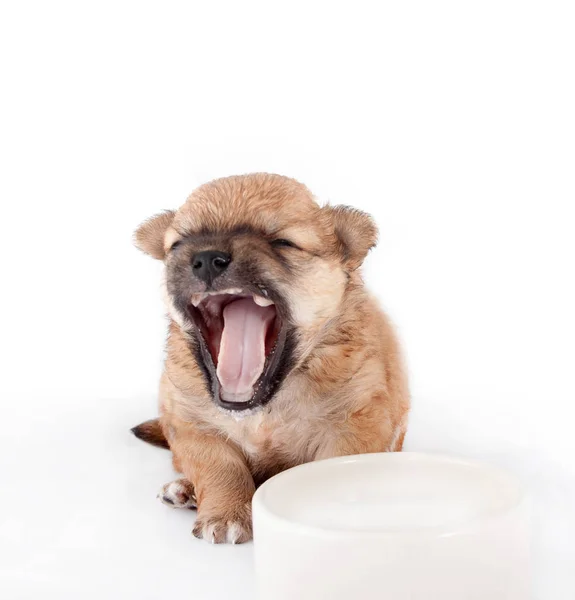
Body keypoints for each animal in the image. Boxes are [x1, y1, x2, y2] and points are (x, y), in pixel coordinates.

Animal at [132, 172, 410, 544]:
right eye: (177, 245)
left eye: (282, 243)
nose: (206, 258)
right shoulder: (190, 423)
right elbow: (221, 466)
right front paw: (226, 513)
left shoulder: (357, 423)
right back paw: (184, 490)